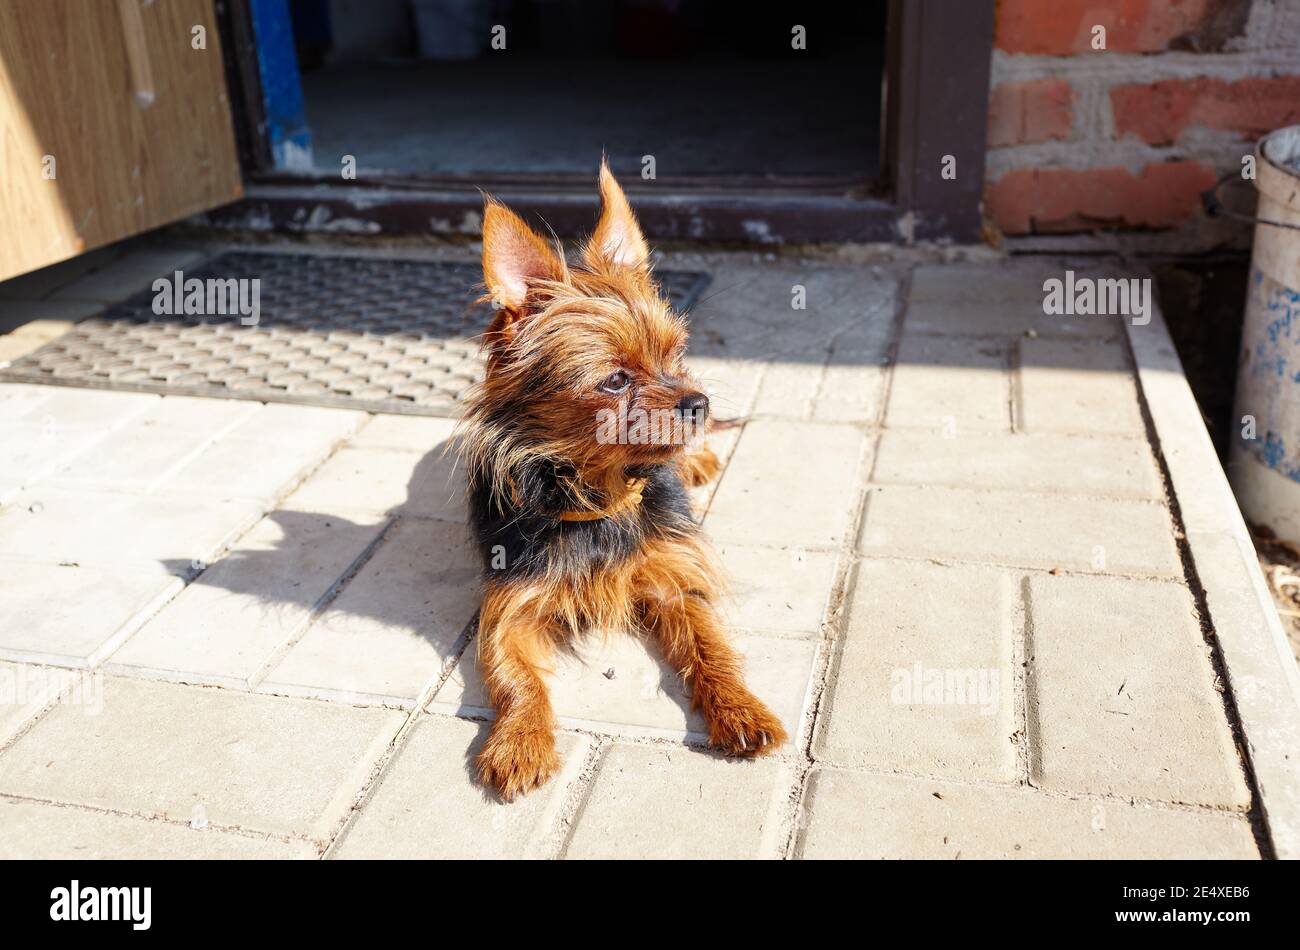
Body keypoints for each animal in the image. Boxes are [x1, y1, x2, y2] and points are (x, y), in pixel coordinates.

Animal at [460, 159, 780, 800]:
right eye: (614, 381)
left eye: (676, 353)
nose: (698, 403)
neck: (600, 497)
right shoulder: (511, 603)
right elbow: (514, 677)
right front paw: (519, 742)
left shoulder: (676, 579)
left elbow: (712, 646)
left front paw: (740, 708)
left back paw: (698, 461)